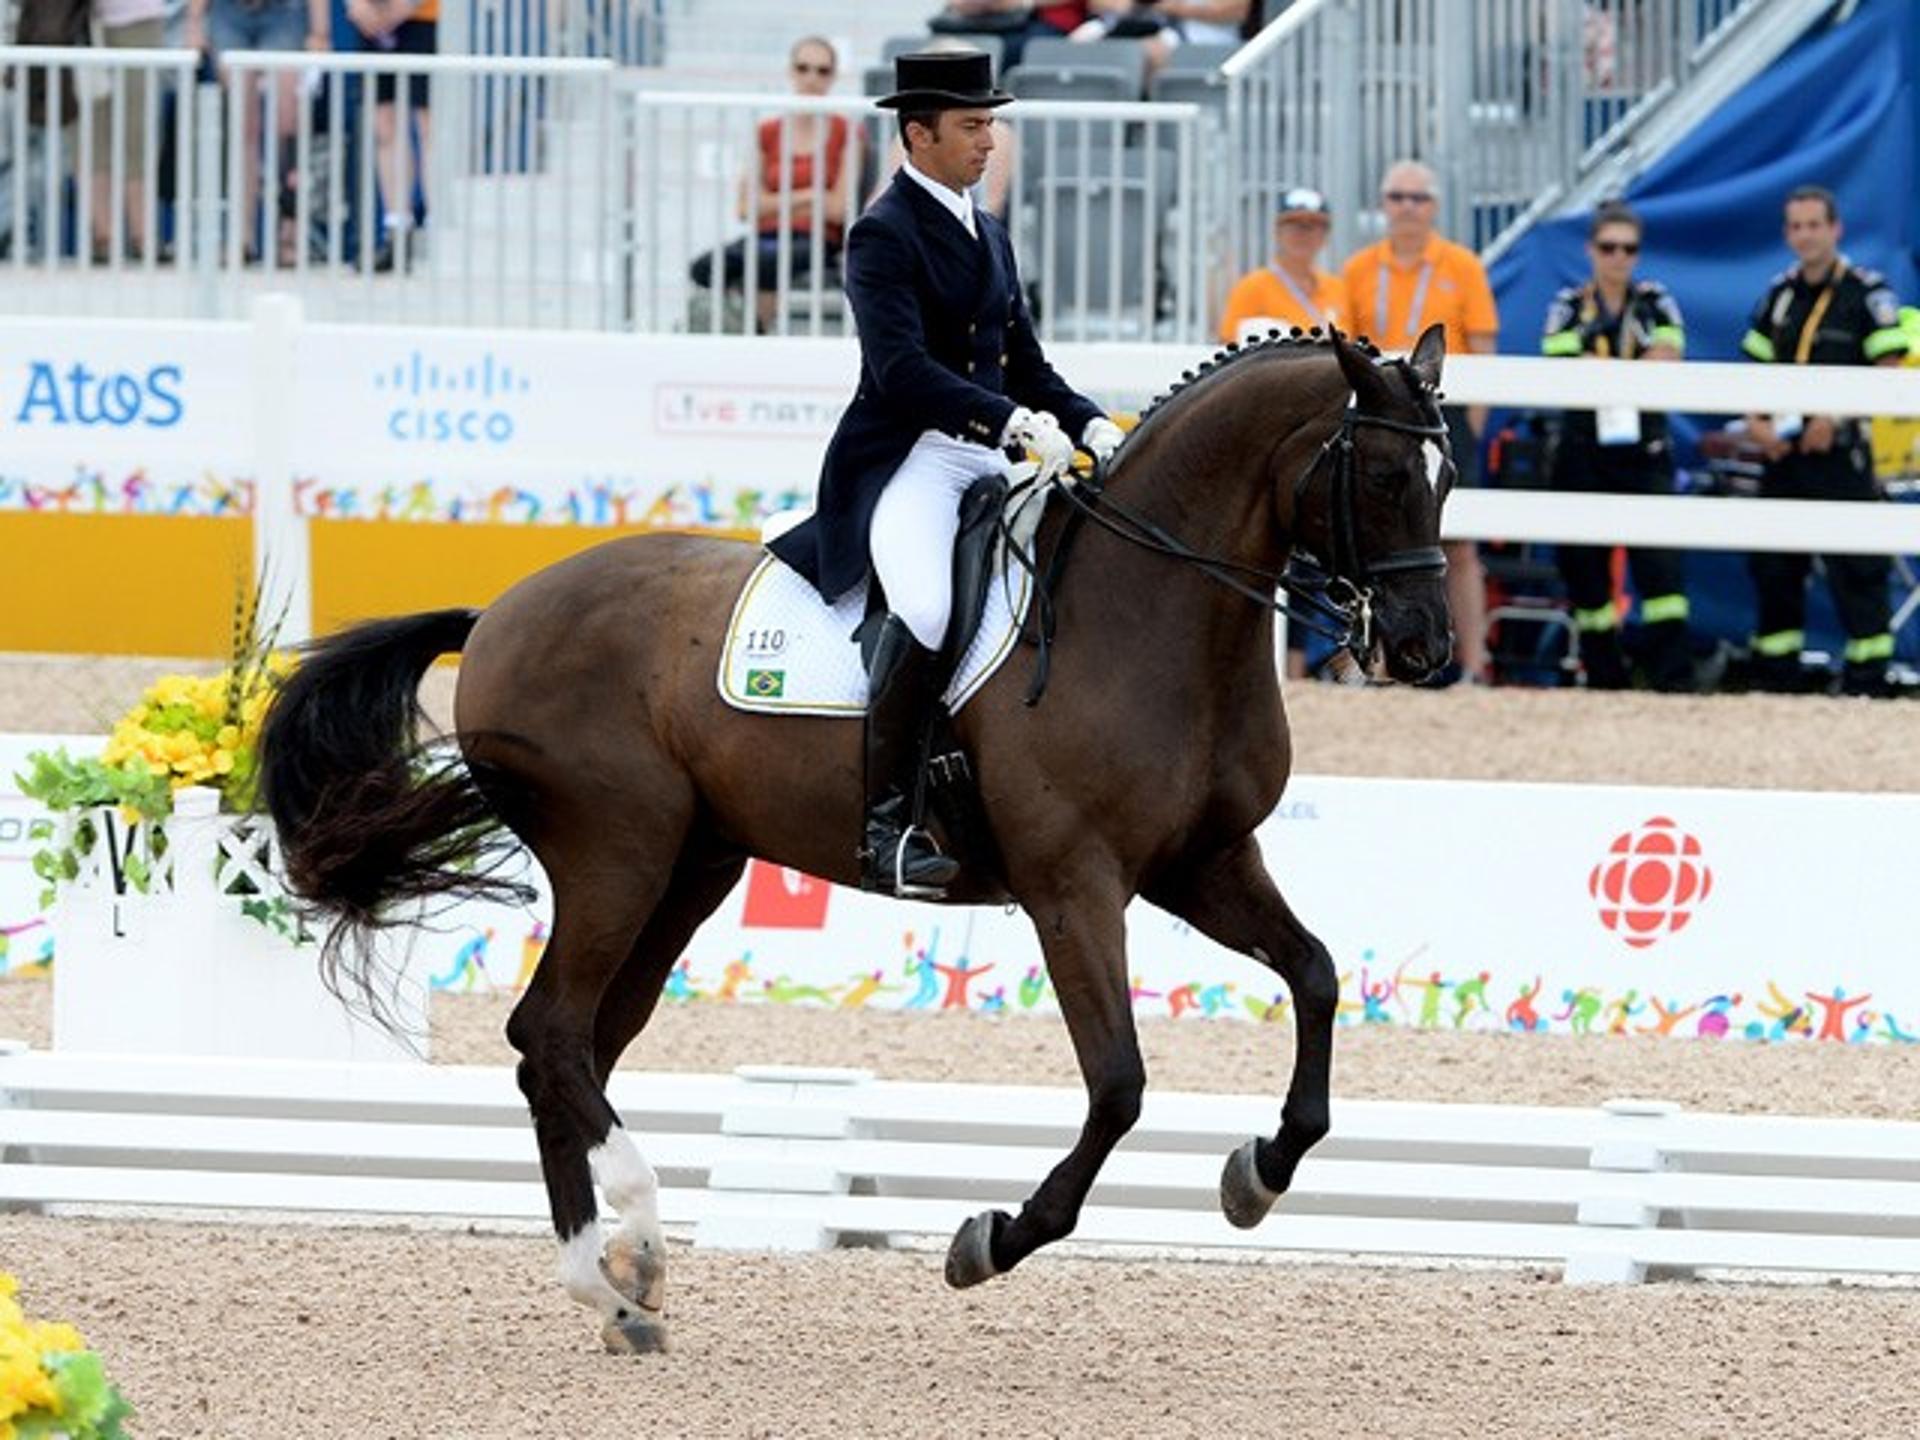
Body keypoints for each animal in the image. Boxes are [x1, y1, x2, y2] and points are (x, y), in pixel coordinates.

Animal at [259, 320, 1451, 1359]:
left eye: (1447, 483)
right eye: (1388, 479)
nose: (1426, 650)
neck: (1150, 615)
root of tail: (499, 611)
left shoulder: (1205, 864)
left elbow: (1316, 976)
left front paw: (1260, 1173)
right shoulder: (1075, 885)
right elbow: (1118, 1085)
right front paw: (992, 1241)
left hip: (689, 868)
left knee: (570, 1046)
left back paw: (613, 1290)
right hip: (617, 853)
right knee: (552, 1033)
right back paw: (636, 1241)